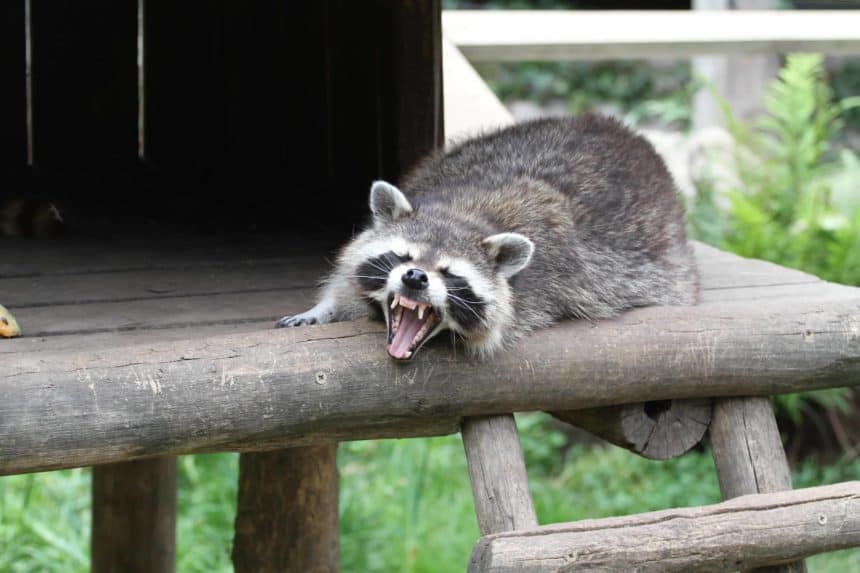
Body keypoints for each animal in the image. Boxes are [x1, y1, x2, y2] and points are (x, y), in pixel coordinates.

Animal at [278, 114, 700, 360]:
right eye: (403, 257)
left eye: (450, 274)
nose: (415, 278)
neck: (461, 214)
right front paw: (325, 306)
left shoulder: (551, 288)